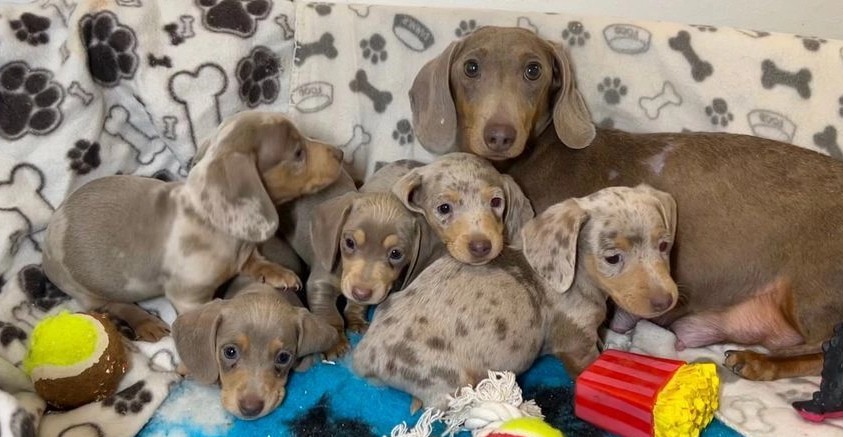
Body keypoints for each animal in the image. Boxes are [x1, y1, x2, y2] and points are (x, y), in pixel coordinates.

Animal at [43, 111, 343, 341]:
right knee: (112, 304)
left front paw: (276, 272)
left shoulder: (244, 251)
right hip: (83, 288)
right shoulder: (188, 296)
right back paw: (143, 322)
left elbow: (254, 260)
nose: (341, 153)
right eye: (298, 152)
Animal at [352, 184, 679, 410]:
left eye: (664, 246)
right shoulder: (576, 344)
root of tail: (363, 356)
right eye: (612, 258)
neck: (579, 279)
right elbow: (589, 364)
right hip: (448, 381)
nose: (667, 301)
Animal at [409, 25, 843, 380]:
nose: (500, 135)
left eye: (533, 70)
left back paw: (758, 361)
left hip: (813, 289)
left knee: (825, 351)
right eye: (470, 68)